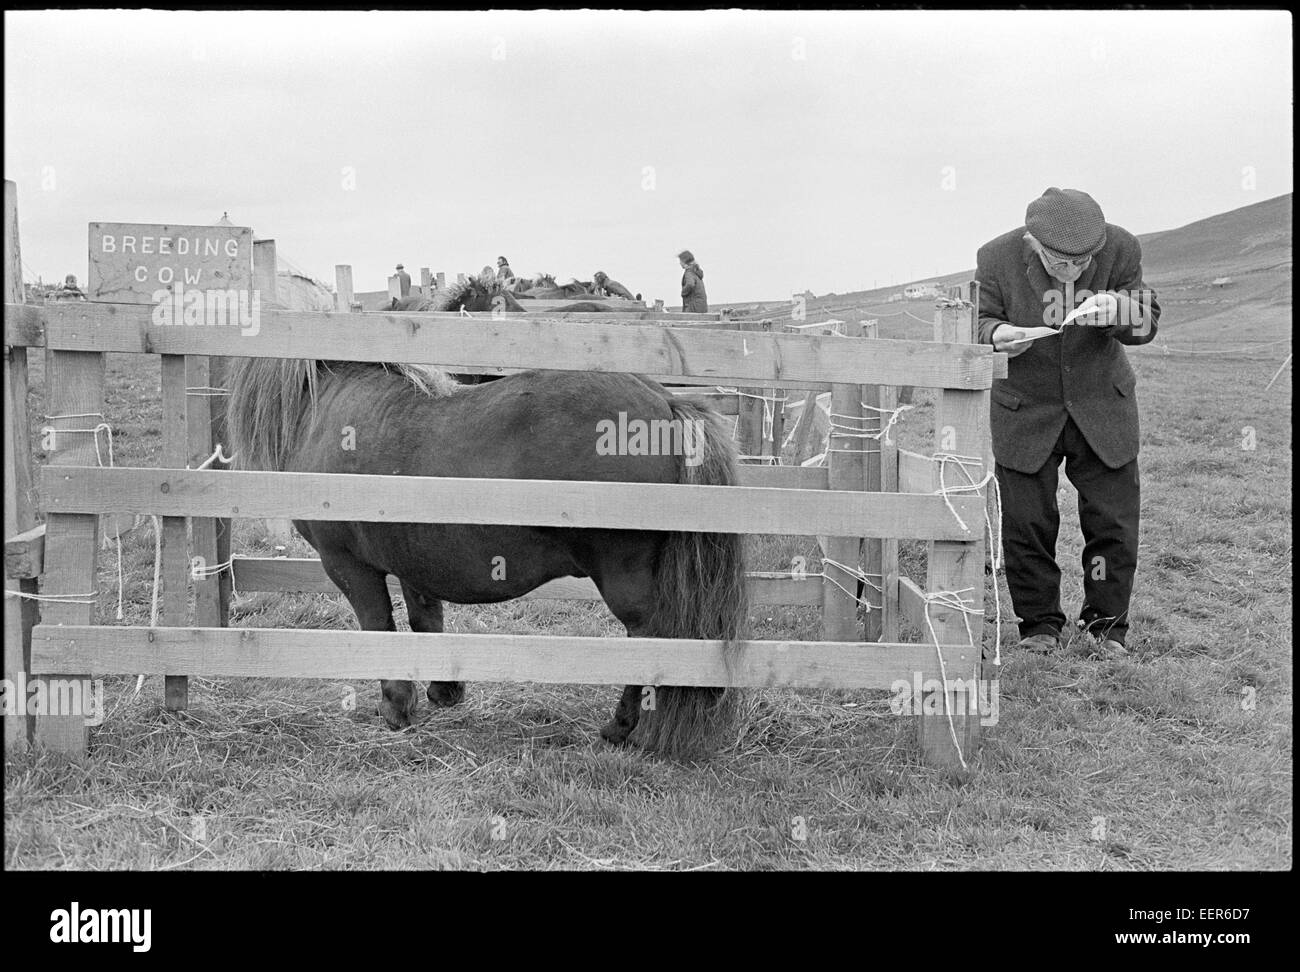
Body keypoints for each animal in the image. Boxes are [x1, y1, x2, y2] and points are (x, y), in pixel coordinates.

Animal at [224, 353, 754, 753]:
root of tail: (666, 401)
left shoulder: (350, 566)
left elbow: (380, 628)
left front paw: (395, 706)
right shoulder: (416, 562)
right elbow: (425, 621)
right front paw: (443, 692)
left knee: (651, 641)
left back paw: (622, 728)